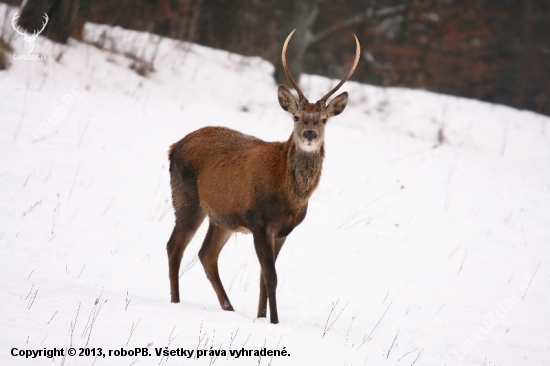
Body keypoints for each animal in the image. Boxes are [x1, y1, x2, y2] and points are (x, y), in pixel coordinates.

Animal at [166, 30, 360, 324]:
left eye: (324, 119)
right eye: (297, 117)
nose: (310, 134)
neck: (289, 198)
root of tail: (173, 147)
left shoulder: (283, 230)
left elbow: (262, 278)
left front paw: (261, 317)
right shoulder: (257, 220)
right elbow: (271, 276)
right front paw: (274, 321)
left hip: (221, 216)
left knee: (206, 253)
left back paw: (228, 307)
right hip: (186, 198)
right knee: (175, 246)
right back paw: (175, 301)